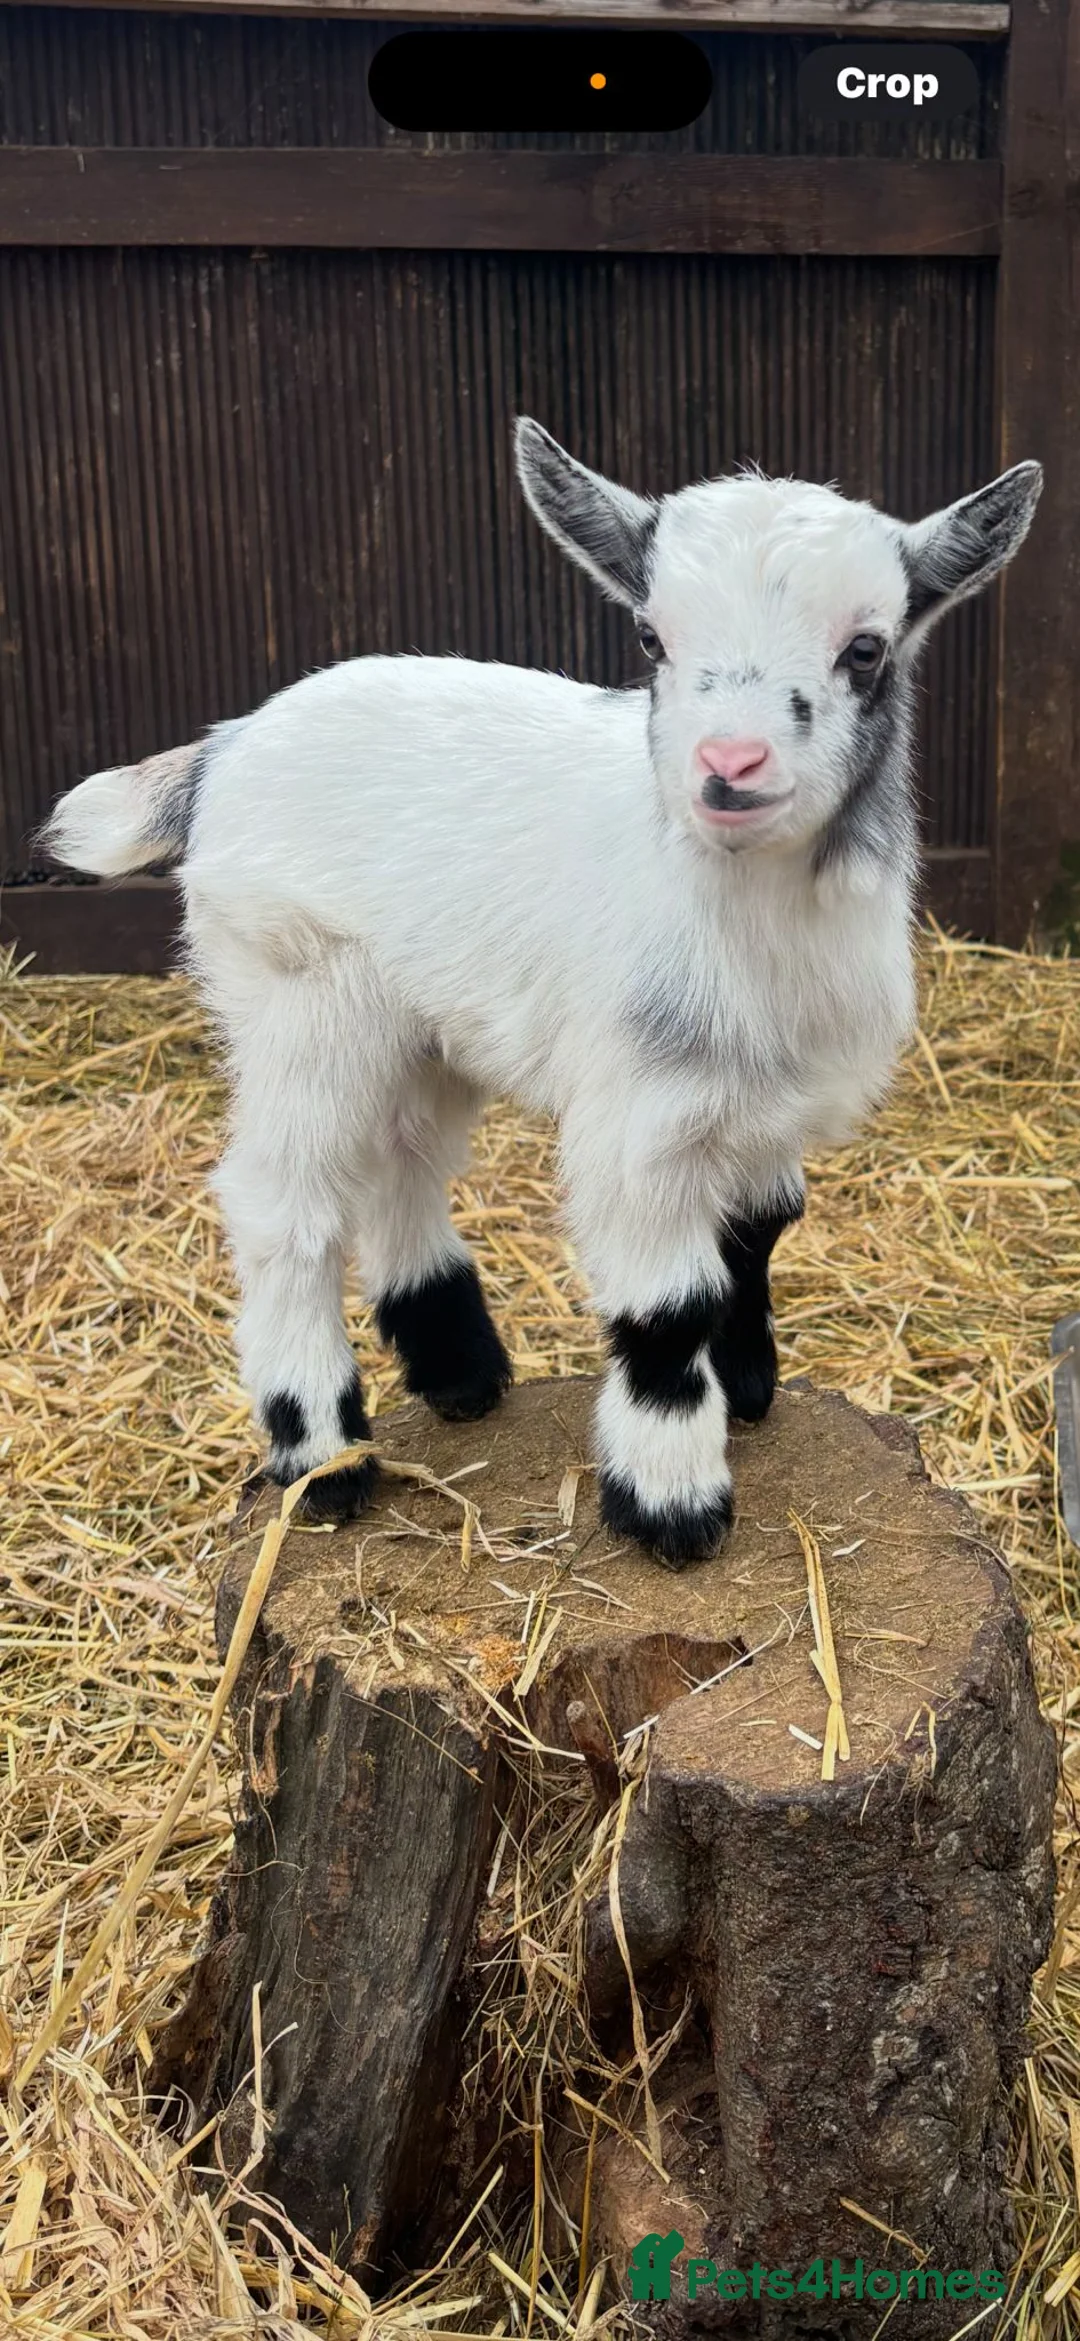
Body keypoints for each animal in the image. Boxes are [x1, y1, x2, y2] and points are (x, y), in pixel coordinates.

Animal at [42, 422, 1041, 1568]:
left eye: (867, 649)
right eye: (651, 640)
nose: (730, 762)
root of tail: (224, 744)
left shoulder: (765, 1103)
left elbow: (758, 1233)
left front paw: (750, 1388)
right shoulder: (641, 1119)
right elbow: (670, 1305)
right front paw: (672, 1505)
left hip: (424, 1023)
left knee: (402, 1160)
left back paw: (459, 1369)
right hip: (298, 995)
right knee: (282, 1201)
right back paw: (325, 1458)